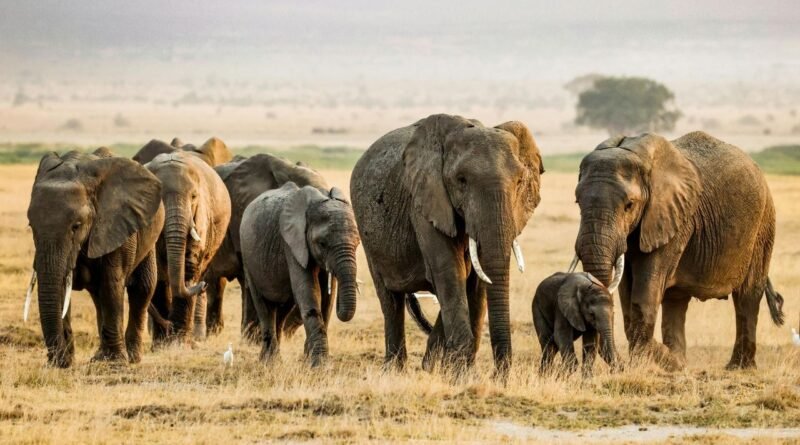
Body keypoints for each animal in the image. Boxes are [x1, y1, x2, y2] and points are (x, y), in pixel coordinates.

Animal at [26, 148, 164, 367]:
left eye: (76, 226)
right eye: (31, 226)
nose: (58, 360)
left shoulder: (115, 225)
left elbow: (111, 283)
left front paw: (115, 364)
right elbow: (62, 288)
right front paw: (65, 362)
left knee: (141, 288)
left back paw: (132, 358)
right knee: (99, 297)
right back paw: (100, 356)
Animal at [137, 141, 232, 344]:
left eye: (194, 197)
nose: (203, 285)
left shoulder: (201, 214)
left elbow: (189, 264)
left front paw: (178, 342)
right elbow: (158, 272)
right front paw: (163, 343)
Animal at [240, 182, 359, 367]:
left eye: (358, 242)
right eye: (322, 243)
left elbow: (327, 299)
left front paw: (309, 360)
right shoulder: (291, 244)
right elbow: (309, 290)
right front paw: (319, 366)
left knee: (282, 309)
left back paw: (274, 359)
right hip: (248, 259)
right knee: (264, 306)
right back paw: (269, 362)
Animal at [350, 114, 544, 374]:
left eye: (520, 181)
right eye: (461, 180)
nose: (498, 376)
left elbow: (475, 280)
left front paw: (457, 371)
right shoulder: (425, 200)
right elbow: (449, 271)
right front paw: (459, 374)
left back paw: (427, 366)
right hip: (367, 231)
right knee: (390, 300)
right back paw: (394, 370)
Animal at [572, 132, 785, 370]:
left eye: (629, 205)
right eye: (578, 202)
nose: (621, 365)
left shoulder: (675, 220)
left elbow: (642, 300)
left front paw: (661, 363)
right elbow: (627, 296)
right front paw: (668, 363)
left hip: (763, 226)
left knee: (747, 297)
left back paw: (737, 367)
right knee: (676, 301)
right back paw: (681, 359)